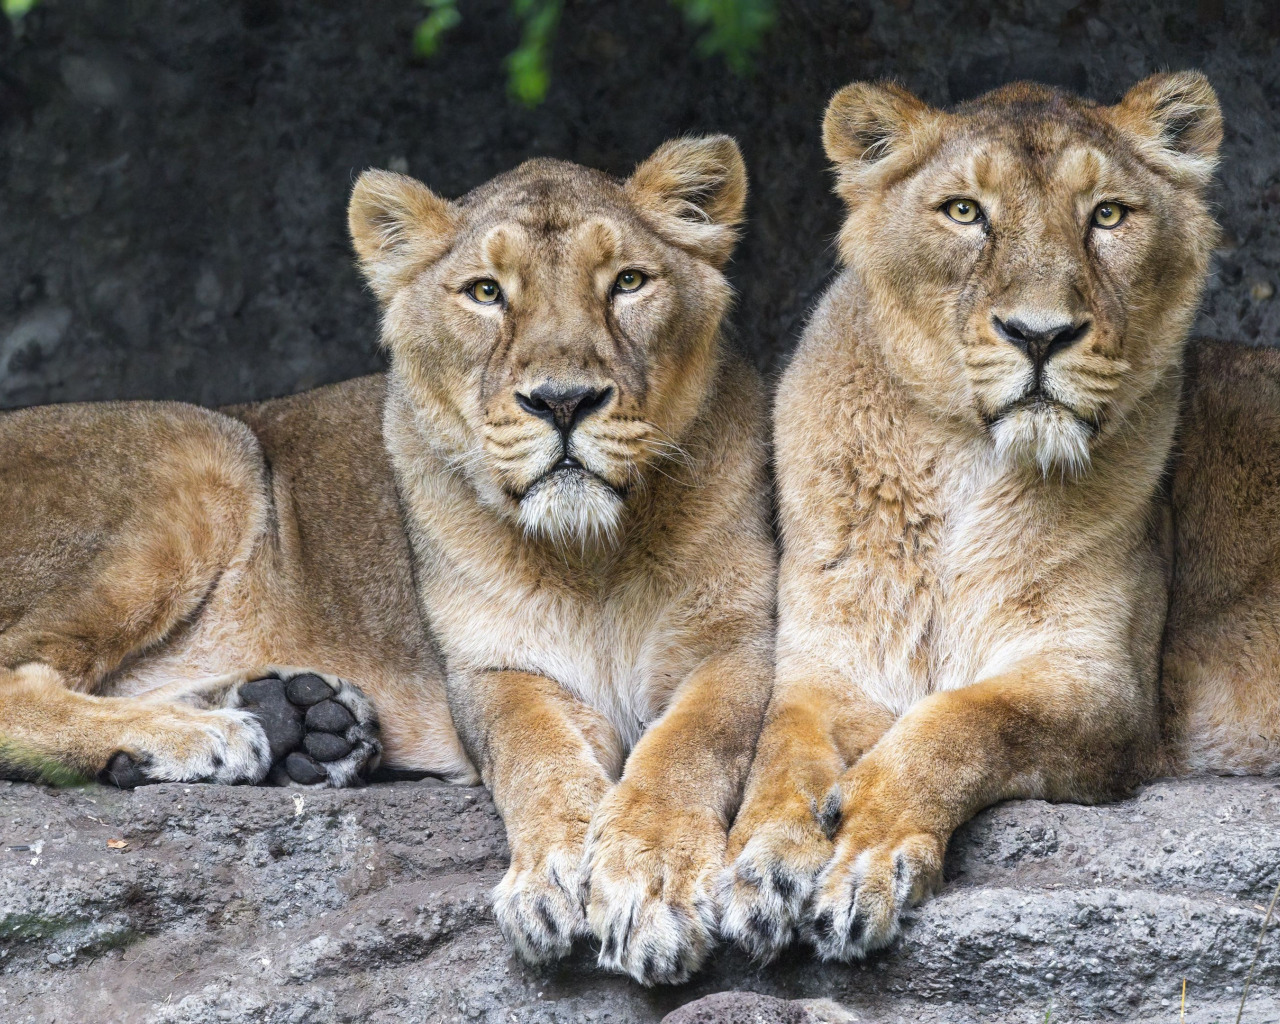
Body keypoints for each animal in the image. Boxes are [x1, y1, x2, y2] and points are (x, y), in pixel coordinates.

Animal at [0, 136, 776, 986]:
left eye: (628, 281)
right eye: (485, 293)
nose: (564, 401)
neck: (593, 555)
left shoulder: (742, 645)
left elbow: (688, 749)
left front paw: (648, 880)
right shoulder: (494, 670)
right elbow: (537, 760)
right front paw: (561, 874)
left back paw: (299, 720)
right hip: (208, 444)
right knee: (20, 677)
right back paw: (207, 735)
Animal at [718, 71, 1278, 964]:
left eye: (1108, 215)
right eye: (964, 212)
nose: (1039, 336)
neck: (962, 469)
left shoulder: (1104, 685)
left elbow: (965, 720)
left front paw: (865, 845)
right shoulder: (827, 667)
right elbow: (781, 752)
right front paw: (765, 862)